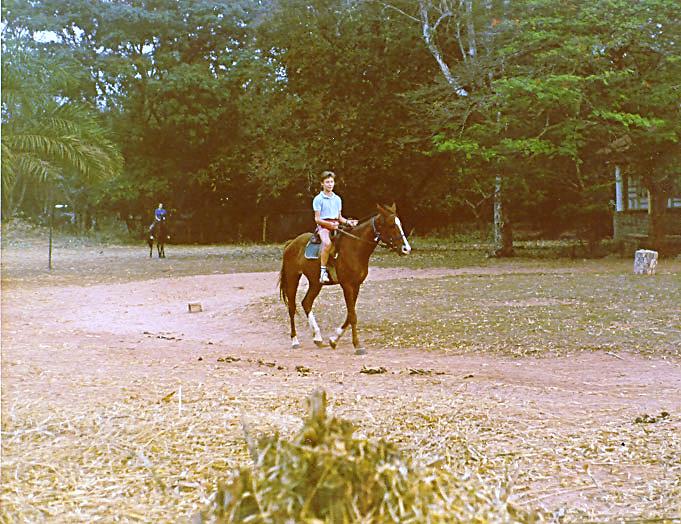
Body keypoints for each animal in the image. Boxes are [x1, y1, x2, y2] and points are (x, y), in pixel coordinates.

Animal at [278, 203, 410, 354]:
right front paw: (357, 346)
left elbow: (349, 314)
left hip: (315, 283)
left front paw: (333, 340)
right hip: (292, 278)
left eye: (399, 224)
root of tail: (291, 243)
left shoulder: (356, 285)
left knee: (306, 303)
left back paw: (318, 338)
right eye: (391, 225)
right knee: (292, 307)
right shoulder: (347, 285)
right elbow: (352, 316)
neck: (355, 248)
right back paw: (295, 340)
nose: (406, 249)